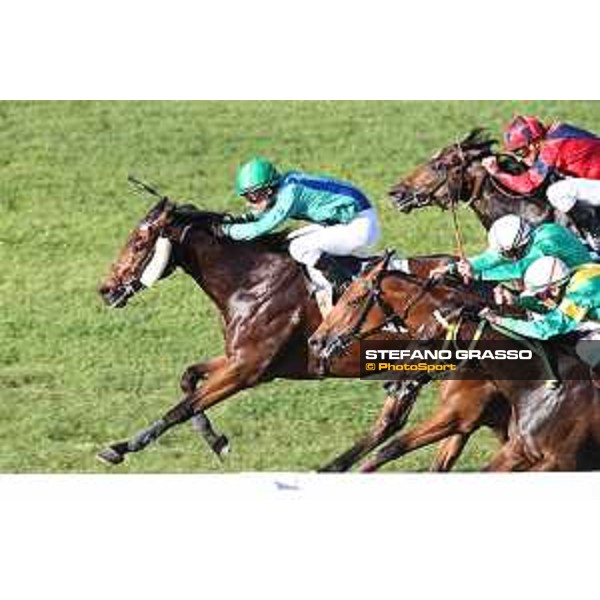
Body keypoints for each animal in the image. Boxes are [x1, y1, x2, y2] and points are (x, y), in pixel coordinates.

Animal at [96, 193, 462, 468]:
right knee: (392, 424)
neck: (251, 281)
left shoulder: (247, 369)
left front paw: (121, 447)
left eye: (139, 241)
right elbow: (188, 380)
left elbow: (181, 409)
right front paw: (217, 441)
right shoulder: (239, 358)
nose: (106, 289)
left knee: (394, 423)